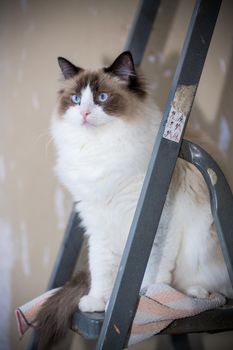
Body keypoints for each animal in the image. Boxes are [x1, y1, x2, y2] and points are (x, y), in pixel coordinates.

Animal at [35, 50, 232, 348]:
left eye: (102, 97)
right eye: (76, 99)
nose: (84, 113)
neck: (100, 152)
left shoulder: (157, 221)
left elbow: (152, 271)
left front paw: (149, 301)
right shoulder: (98, 224)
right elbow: (101, 268)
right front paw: (98, 301)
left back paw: (195, 293)